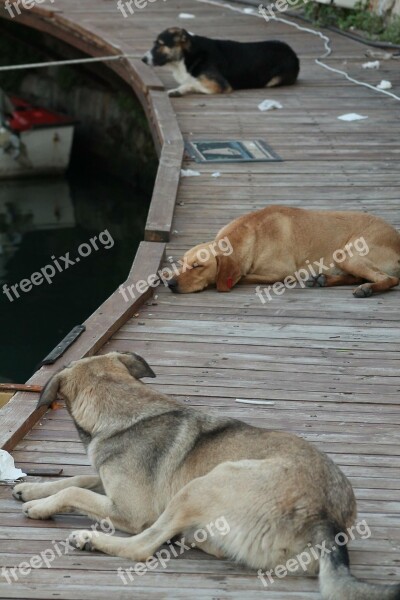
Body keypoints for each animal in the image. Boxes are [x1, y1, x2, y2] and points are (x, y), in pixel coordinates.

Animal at [11, 352, 400, 600]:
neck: (124, 410)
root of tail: (325, 518)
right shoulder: (109, 483)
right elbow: (76, 480)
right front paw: (31, 488)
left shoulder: (132, 511)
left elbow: (75, 493)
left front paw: (40, 506)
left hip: (204, 484)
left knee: (142, 547)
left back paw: (90, 539)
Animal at [142, 26, 298, 96]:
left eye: (160, 44)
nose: (142, 59)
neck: (186, 56)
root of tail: (292, 52)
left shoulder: (220, 85)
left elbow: (192, 82)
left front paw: (177, 90)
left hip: (274, 80)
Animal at [169, 206, 400, 298]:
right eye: (182, 264)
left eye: (198, 266)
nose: (170, 284)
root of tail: (397, 238)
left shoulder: (281, 273)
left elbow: (243, 276)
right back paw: (323, 279)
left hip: (348, 254)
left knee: (390, 279)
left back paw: (367, 289)